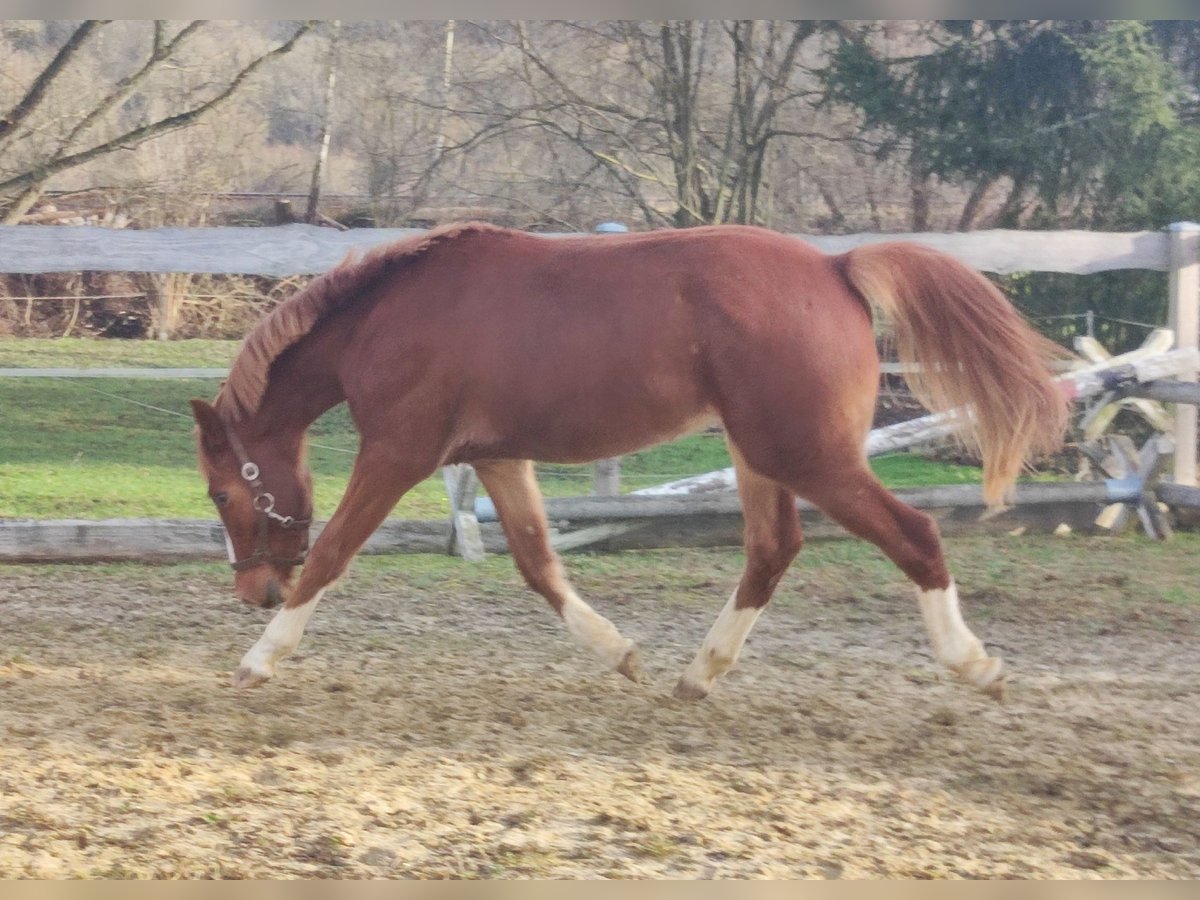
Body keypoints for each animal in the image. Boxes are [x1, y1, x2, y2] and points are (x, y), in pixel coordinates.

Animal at [189, 222, 1070, 700]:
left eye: (222, 494)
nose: (253, 593)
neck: (388, 321)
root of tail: (835, 266)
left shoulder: (398, 453)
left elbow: (333, 551)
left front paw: (257, 662)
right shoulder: (499, 457)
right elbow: (539, 564)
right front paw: (622, 654)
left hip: (806, 453)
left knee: (914, 535)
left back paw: (976, 666)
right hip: (762, 454)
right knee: (771, 549)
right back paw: (698, 674)